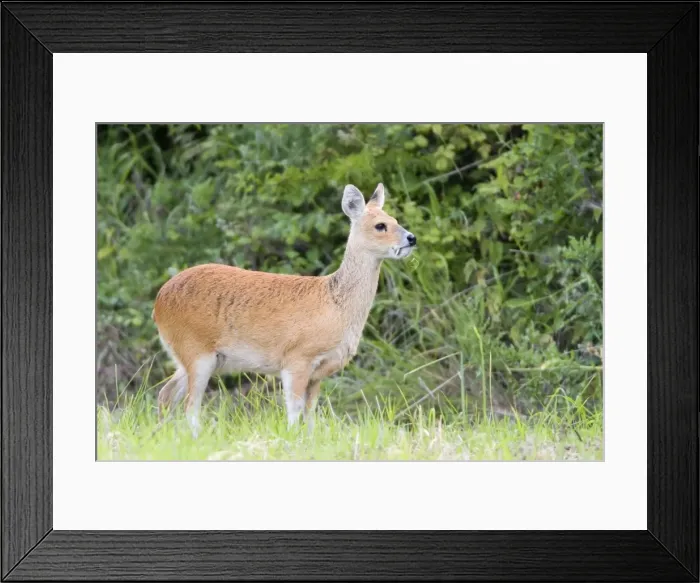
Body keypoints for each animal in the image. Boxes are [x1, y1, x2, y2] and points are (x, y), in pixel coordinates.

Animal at [152, 183, 417, 437]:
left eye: (395, 219)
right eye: (380, 225)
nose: (411, 238)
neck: (336, 305)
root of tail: (158, 303)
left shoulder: (318, 372)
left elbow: (310, 413)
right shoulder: (297, 358)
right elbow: (294, 410)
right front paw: (291, 440)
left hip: (193, 357)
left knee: (166, 394)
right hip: (196, 351)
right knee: (190, 407)